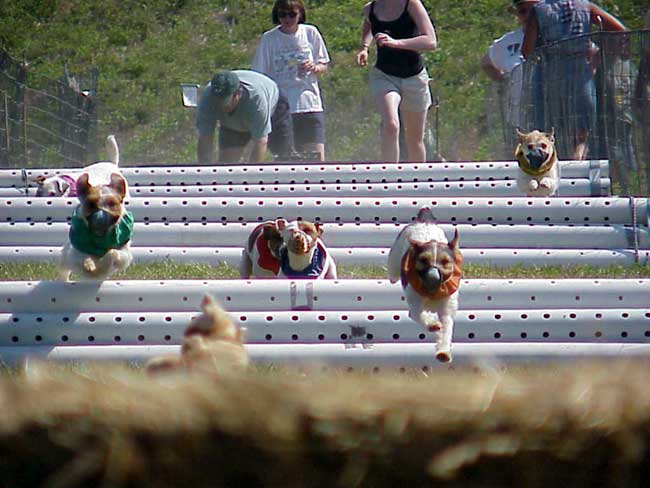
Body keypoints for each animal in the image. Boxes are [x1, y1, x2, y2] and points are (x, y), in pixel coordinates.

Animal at [58, 137, 133, 282]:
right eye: (91, 204)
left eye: (112, 204)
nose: (100, 219)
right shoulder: (75, 249)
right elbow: (83, 256)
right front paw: (89, 265)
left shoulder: (124, 253)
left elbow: (113, 253)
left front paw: (103, 263)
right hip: (65, 260)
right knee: (64, 271)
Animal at [384, 206, 460, 362]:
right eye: (423, 260)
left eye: (445, 262)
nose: (433, 277)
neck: (432, 292)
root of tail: (424, 220)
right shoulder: (415, 304)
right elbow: (419, 314)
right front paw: (433, 324)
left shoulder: (447, 309)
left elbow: (446, 328)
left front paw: (443, 352)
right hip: (394, 262)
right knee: (393, 274)